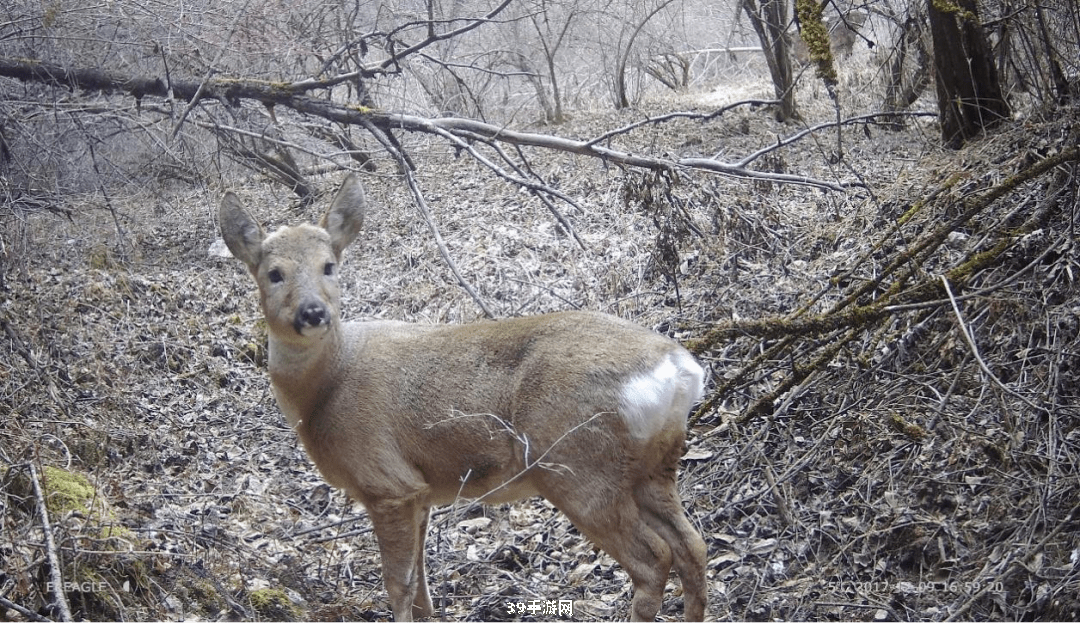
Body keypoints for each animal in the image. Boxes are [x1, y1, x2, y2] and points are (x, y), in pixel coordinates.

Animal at [219, 172, 708, 617]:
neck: (325, 389)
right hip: (654, 467)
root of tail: (680, 368)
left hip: (578, 465)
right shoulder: (420, 491)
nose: (313, 312)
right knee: (693, 546)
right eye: (273, 273)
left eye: (329, 265)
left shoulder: (386, 482)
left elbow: (399, 586)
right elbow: (421, 591)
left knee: (653, 560)